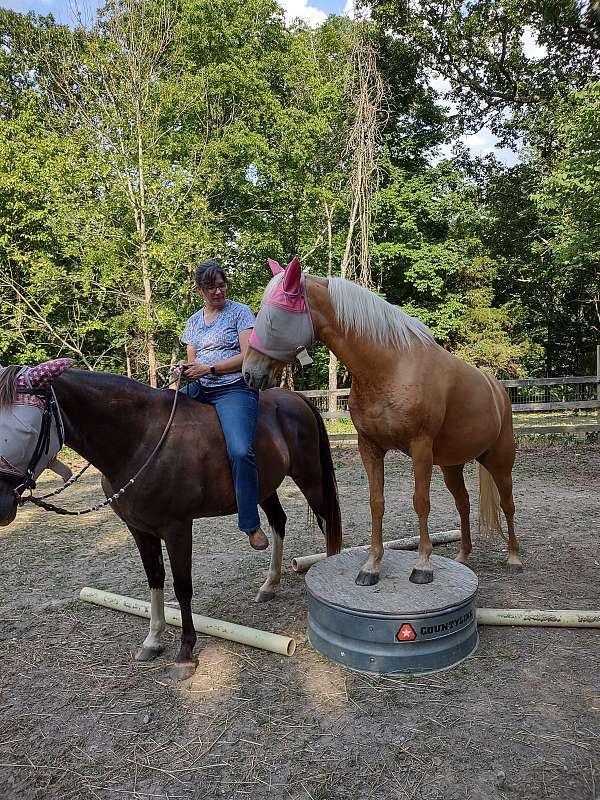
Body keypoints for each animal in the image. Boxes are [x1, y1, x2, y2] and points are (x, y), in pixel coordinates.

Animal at [0, 362, 340, 668]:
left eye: (26, 428)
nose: (3, 504)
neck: (139, 440)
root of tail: (295, 399)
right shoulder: (139, 529)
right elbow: (155, 579)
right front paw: (152, 641)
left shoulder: (177, 529)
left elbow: (182, 586)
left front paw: (186, 651)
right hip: (265, 486)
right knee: (279, 522)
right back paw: (269, 585)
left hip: (310, 478)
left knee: (326, 522)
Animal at [243, 258, 520, 588]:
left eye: (273, 318)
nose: (249, 373)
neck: (391, 367)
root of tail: (497, 389)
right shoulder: (370, 447)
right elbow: (377, 503)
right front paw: (372, 566)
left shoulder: (420, 449)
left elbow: (421, 502)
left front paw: (423, 565)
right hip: (452, 465)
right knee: (463, 502)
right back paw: (463, 554)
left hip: (500, 460)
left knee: (508, 504)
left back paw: (514, 557)